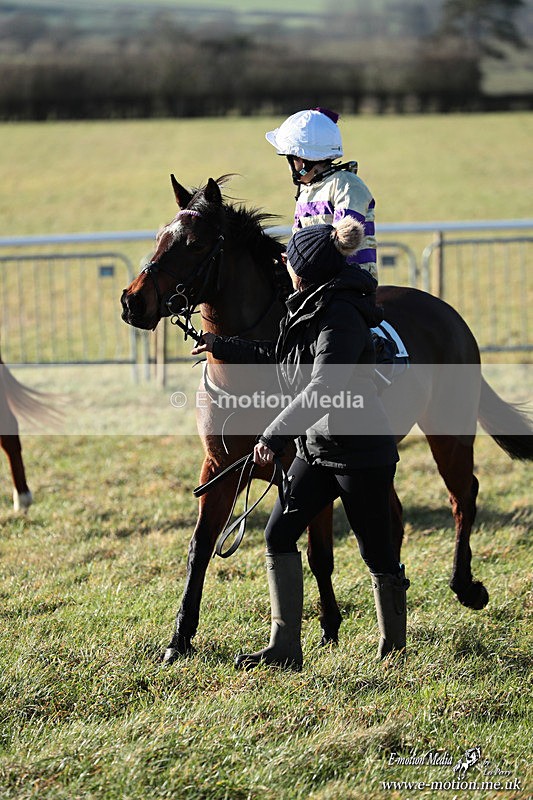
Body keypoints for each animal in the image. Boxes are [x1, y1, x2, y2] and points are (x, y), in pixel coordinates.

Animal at [121, 175, 533, 663]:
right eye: (160, 236)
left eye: (195, 243)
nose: (132, 301)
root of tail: (448, 314)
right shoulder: (221, 469)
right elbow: (201, 546)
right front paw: (179, 639)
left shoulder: (305, 472)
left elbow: (318, 554)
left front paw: (328, 627)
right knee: (393, 517)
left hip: (448, 433)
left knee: (462, 496)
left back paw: (464, 586)